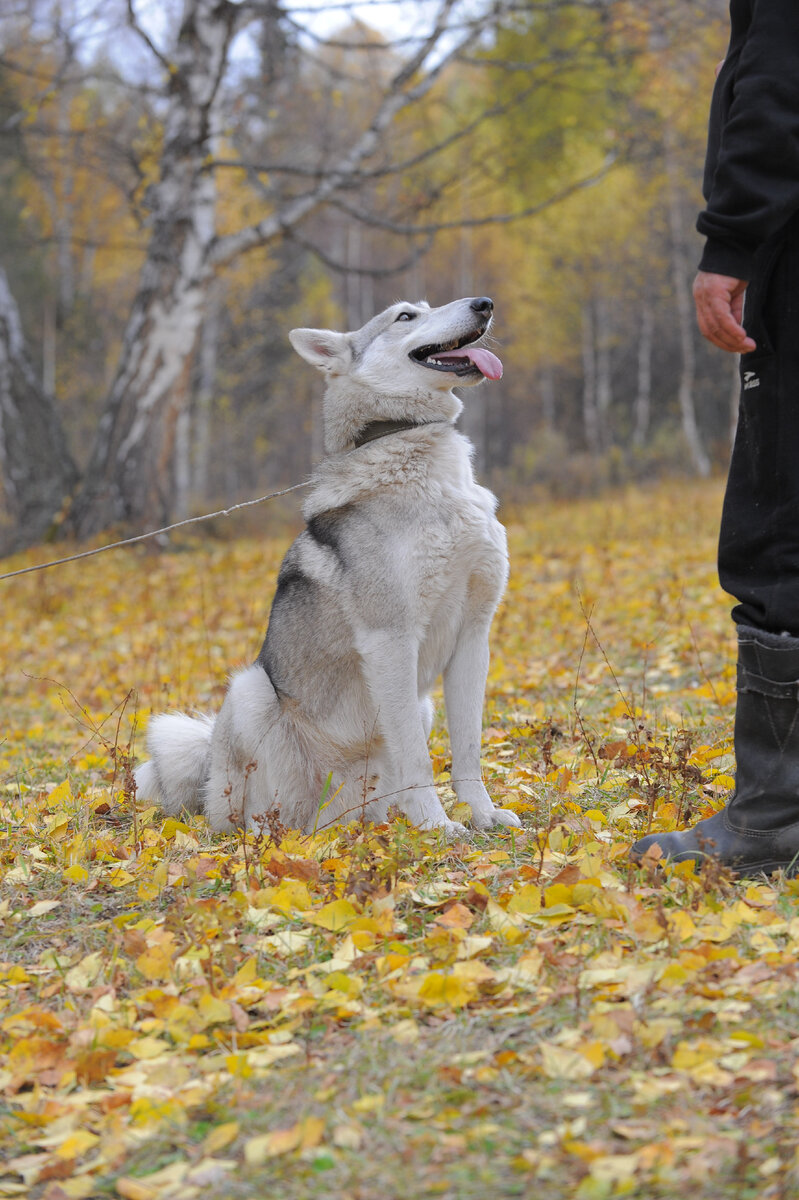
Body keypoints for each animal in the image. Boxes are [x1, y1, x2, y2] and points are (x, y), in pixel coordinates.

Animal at [135, 292, 523, 835]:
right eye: (406, 315)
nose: (484, 303)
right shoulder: (390, 640)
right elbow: (418, 758)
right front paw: (437, 826)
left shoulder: (473, 636)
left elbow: (467, 749)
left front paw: (483, 815)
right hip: (251, 690)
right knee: (254, 816)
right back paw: (273, 834)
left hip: (417, 709)